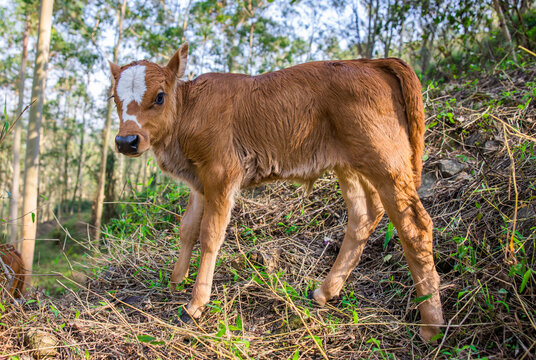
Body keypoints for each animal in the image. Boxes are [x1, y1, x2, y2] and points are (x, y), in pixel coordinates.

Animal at [108, 43, 444, 342]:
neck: (188, 112)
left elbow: (210, 234)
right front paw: (176, 280)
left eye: (160, 96)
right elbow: (187, 228)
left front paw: (195, 304)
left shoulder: (220, 173)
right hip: (349, 165)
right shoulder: (198, 180)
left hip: (387, 163)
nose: (127, 140)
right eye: (114, 98)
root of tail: (371, 63)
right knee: (364, 215)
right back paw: (325, 292)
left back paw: (432, 326)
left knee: (414, 226)